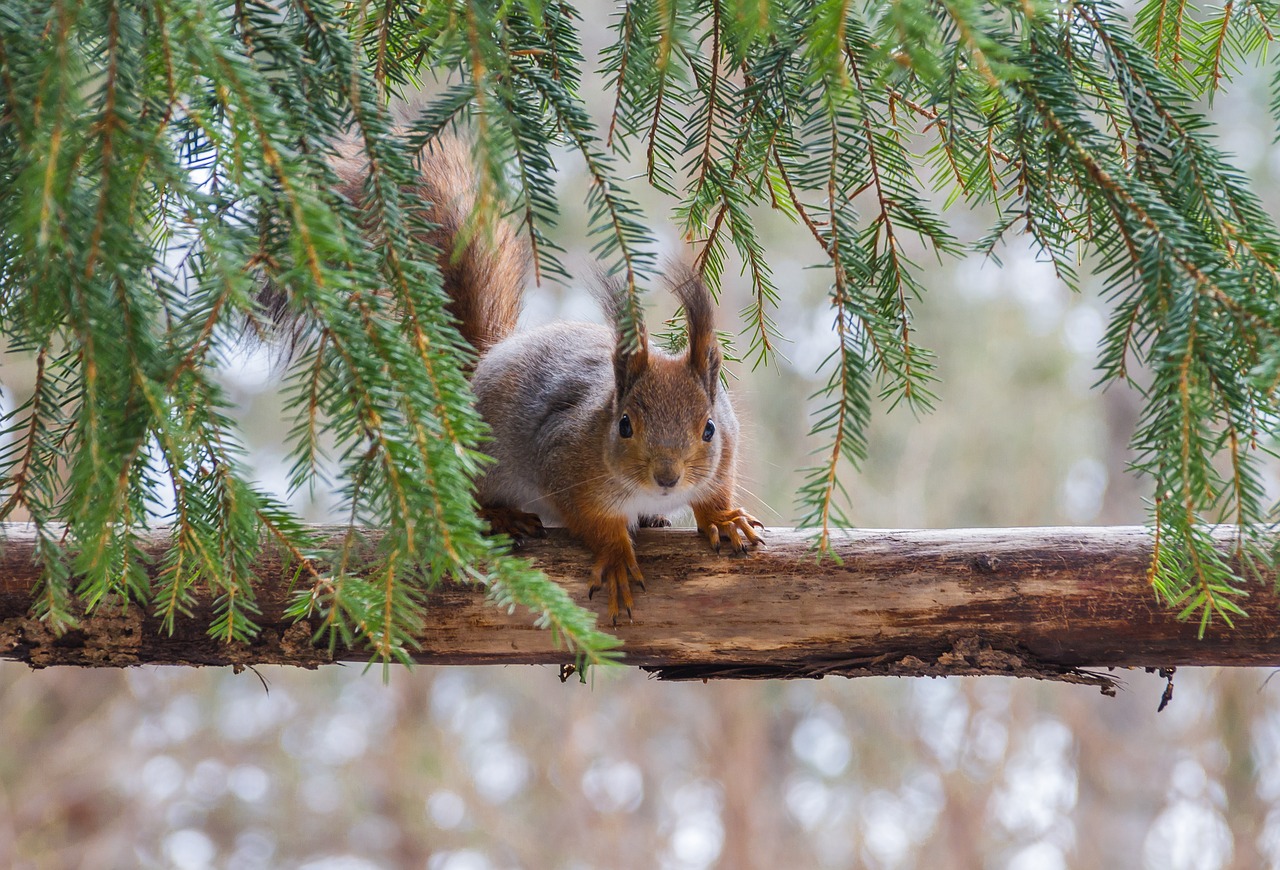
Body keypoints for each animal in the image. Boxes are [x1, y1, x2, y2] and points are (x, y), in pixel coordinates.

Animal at [335, 139, 762, 621]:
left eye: (709, 429)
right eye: (624, 425)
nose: (667, 478)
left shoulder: (726, 452)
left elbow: (714, 495)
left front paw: (723, 520)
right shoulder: (563, 463)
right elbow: (593, 522)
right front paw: (616, 557)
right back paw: (501, 515)